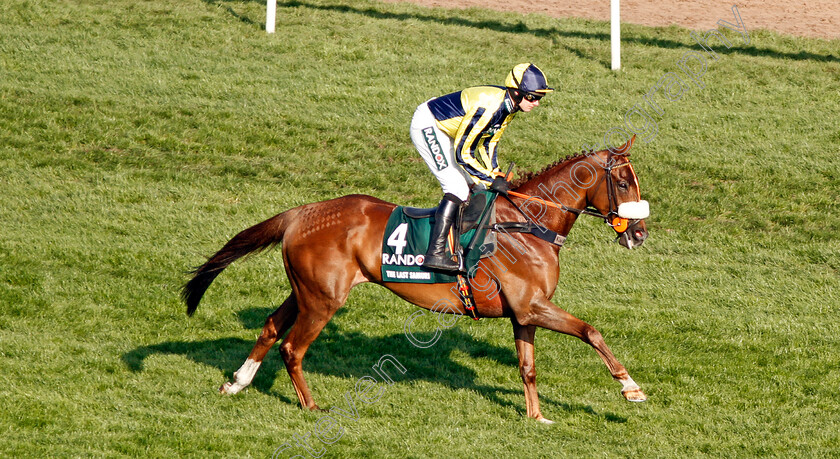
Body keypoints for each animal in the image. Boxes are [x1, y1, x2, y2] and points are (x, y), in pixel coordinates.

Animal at [182, 136, 648, 424]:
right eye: (624, 181)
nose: (640, 234)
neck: (528, 224)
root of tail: (303, 212)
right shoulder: (533, 306)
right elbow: (591, 331)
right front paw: (630, 388)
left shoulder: (524, 314)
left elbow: (527, 367)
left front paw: (536, 416)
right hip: (323, 299)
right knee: (293, 348)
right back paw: (311, 406)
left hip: (306, 291)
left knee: (269, 328)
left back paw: (237, 383)